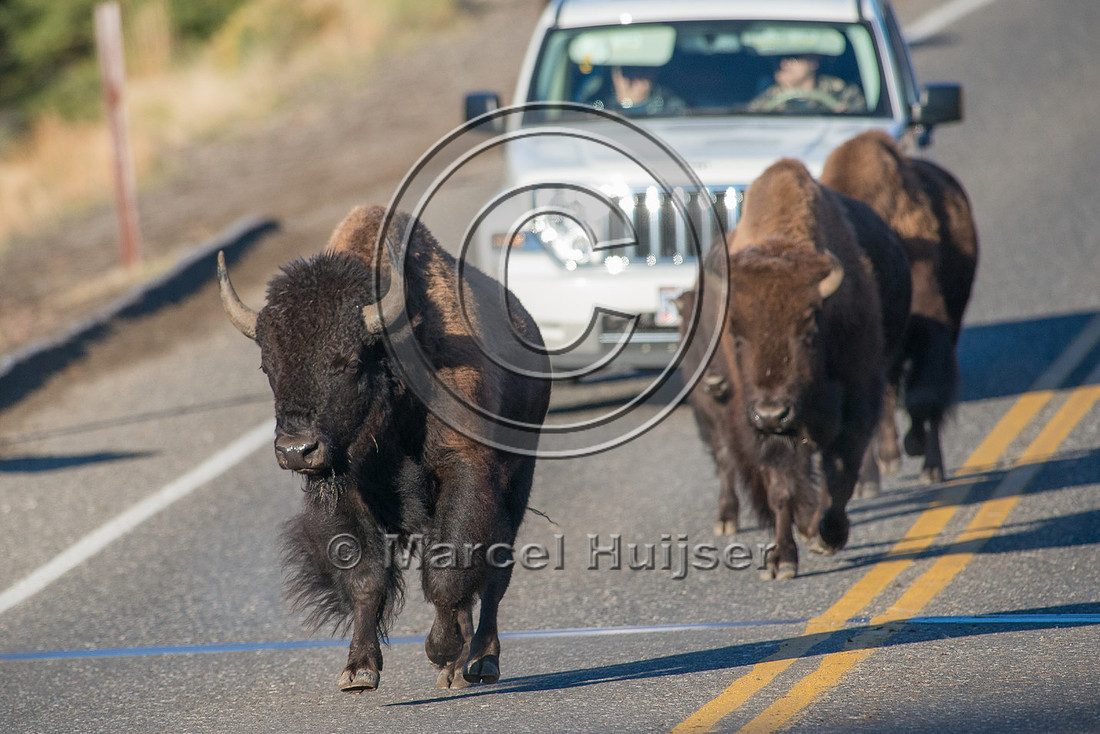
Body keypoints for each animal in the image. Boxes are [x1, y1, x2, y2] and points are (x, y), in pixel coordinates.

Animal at [218, 205, 551, 691]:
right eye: (267, 366)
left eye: (352, 362)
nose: (297, 450)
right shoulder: (347, 492)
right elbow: (366, 577)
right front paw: (358, 670)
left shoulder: (465, 471)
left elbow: (449, 571)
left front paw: (439, 650)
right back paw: (456, 669)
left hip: (518, 479)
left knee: (495, 572)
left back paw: (479, 661)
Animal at [679, 159, 910, 578]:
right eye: (736, 333)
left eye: (809, 329)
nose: (773, 413)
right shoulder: (766, 430)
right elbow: (781, 487)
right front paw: (782, 559)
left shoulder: (856, 404)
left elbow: (842, 473)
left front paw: (828, 535)